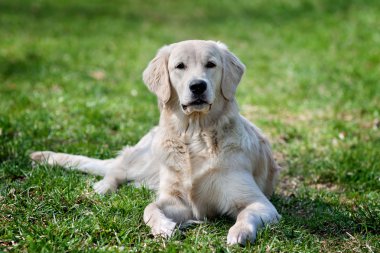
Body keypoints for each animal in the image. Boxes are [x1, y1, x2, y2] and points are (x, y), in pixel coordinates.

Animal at [30, 40, 280, 245]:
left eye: (211, 64)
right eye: (180, 66)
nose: (198, 86)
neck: (196, 136)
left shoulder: (259, 203)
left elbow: (246, 214)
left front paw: (239, 233)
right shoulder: (177, 200)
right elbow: (149, 207)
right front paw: (163, 227)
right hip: (145, 157)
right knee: (117, 167)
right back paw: (103, 187)